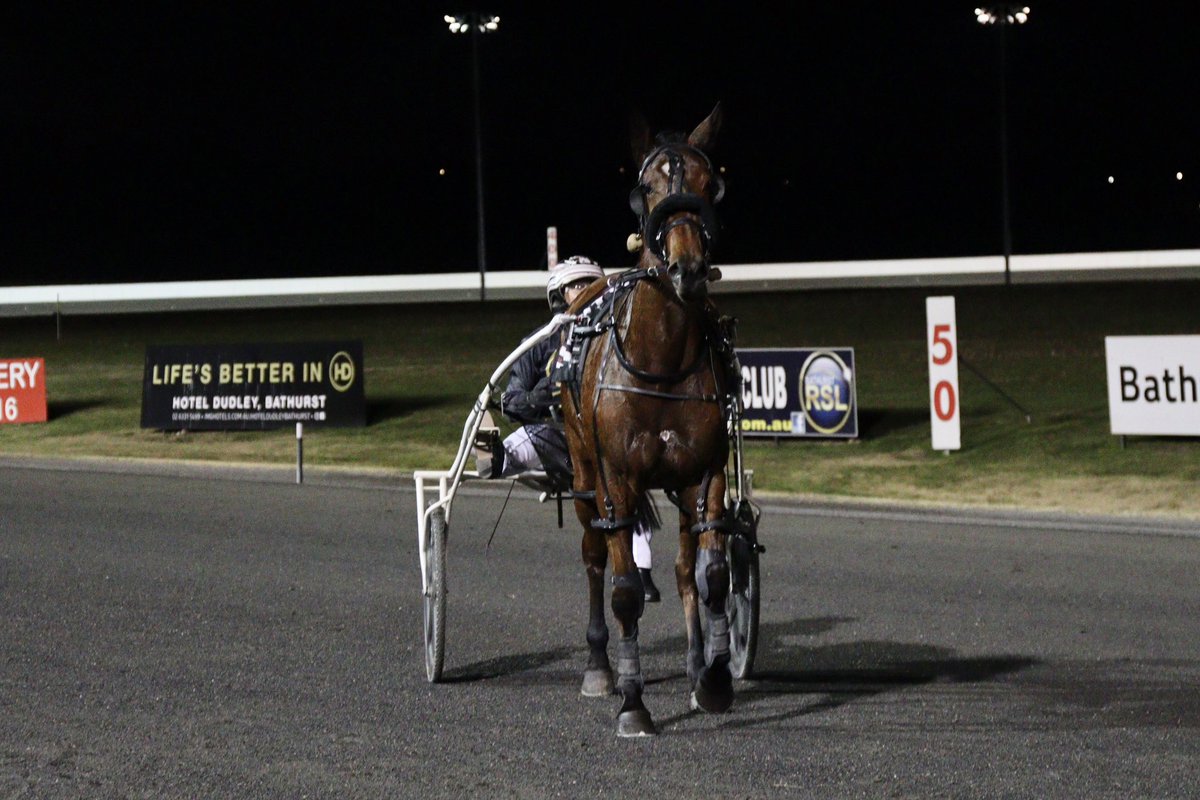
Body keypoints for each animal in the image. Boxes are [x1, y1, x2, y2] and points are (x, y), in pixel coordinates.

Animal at [561, 106, 739, 738]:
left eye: (711, 184)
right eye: (648, 189)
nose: (688, 269)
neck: (660, 361)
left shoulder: (705, 474)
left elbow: (712, 577)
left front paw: (714, 678)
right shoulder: (616, 480)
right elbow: (624, 594)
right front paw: (632, 701)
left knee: (687, 569)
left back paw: (694, 665)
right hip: (583, 470)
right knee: (594, 556)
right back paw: (598, 666)